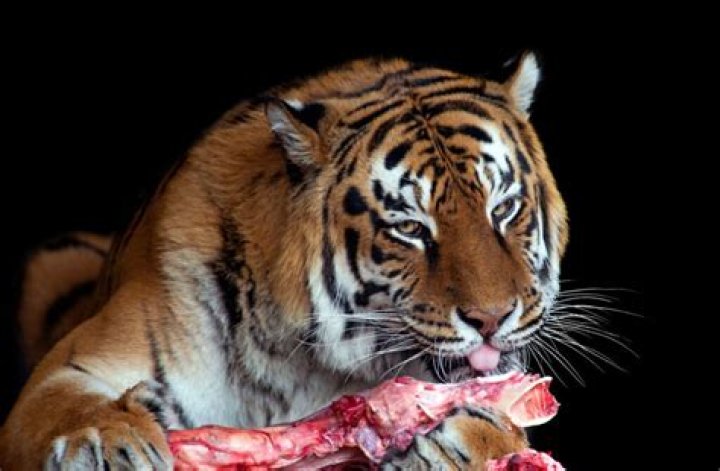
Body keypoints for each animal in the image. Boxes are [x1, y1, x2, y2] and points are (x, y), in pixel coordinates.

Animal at [0, 52, 567, 469]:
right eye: (409, 228)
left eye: (503, 209)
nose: (491, 319)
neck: (305, 367)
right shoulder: (72, 365)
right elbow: (66, 408)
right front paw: (104, 442)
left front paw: (459, 443)